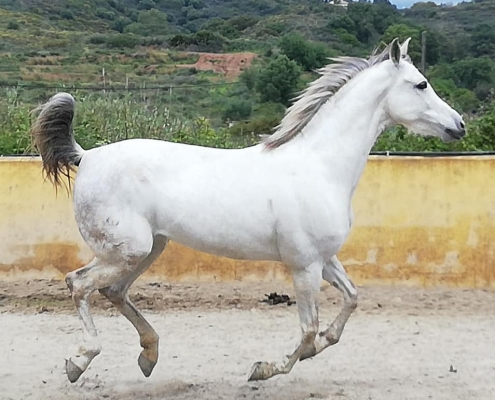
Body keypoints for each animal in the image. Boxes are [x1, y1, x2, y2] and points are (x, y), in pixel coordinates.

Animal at [30, 38, 464, 384]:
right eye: (421, 84)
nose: (458, 125)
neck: (321, 166)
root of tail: (87, 156)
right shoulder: (304, 266)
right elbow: (308, 330)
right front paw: (264, 369)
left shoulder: (324, 260)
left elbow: (350, 303)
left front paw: (314, 347)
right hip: (128, 250)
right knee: (78, 283)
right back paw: (79, 362)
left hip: (147, 249)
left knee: (112, 291)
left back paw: (148, 356)